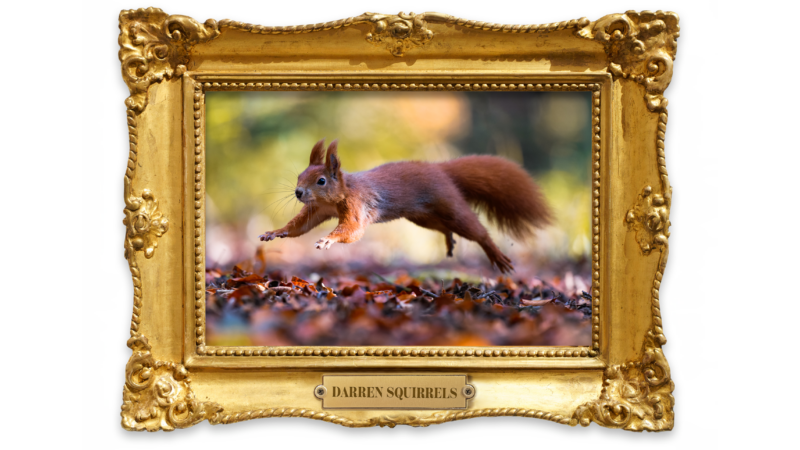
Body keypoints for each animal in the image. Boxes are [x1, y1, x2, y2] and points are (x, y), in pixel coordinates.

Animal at [258, 138, 552, 273]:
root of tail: (440, 170)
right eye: (299, 176)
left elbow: (352, 230)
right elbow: (299, 226)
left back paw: (496, 255)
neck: (339, 193)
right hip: (423, 217)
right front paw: (275, 232)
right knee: (443, 227)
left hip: (450, 205)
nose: (298, 192)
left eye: (320, 180)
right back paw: (449, 240)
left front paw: (328, 240)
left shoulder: (357, 205)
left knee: (476, 231)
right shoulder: (318, 210)